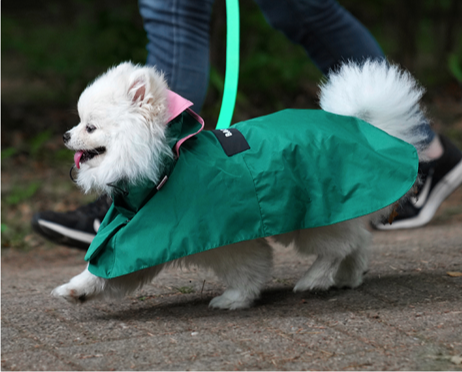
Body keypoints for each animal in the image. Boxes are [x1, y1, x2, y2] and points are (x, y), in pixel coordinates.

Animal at [52, 61, 428, 310]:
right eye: (79, 122)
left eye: (90, 127)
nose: (65, 135)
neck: (168, 164)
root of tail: (365, 128)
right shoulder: (137, 234)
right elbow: (107, 269)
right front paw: (76, 290)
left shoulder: (220, 234)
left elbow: (249, 267)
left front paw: (235, 299)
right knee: (358, 239)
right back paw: (349, 276)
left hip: (314, 217)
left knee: (340, 246)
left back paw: (313, 280)